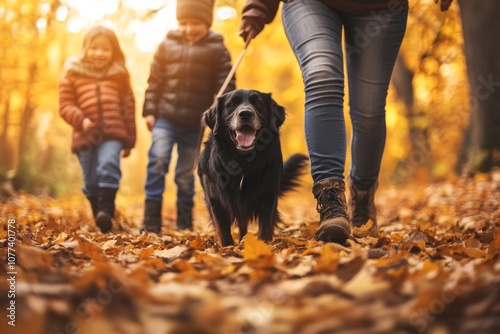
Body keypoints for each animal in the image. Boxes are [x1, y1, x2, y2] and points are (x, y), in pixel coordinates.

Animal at [197, 88, 306, 245]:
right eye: (231, 104)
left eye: (258, 103)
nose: (245, 114)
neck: (243, 163)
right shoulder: (216, 201)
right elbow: (223, 232)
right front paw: (228, 248)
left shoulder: (269, 197)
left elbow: (265, 229)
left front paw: (262, 245)